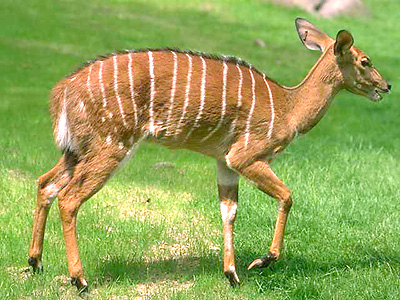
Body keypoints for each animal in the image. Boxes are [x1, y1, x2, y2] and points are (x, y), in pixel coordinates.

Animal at [28, 17, 390, 292]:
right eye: (365, 60)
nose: (385, 87)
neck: (289, 109)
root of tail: (62, 91)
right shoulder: (246, 156)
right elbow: (287, 196)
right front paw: (262, 261)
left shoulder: (223, 161)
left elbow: (228, 211)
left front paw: (232, 275)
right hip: (110, 145)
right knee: (69, 198)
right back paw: (79, 280)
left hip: (76, 149)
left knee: (46, 183)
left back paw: (35, 262)